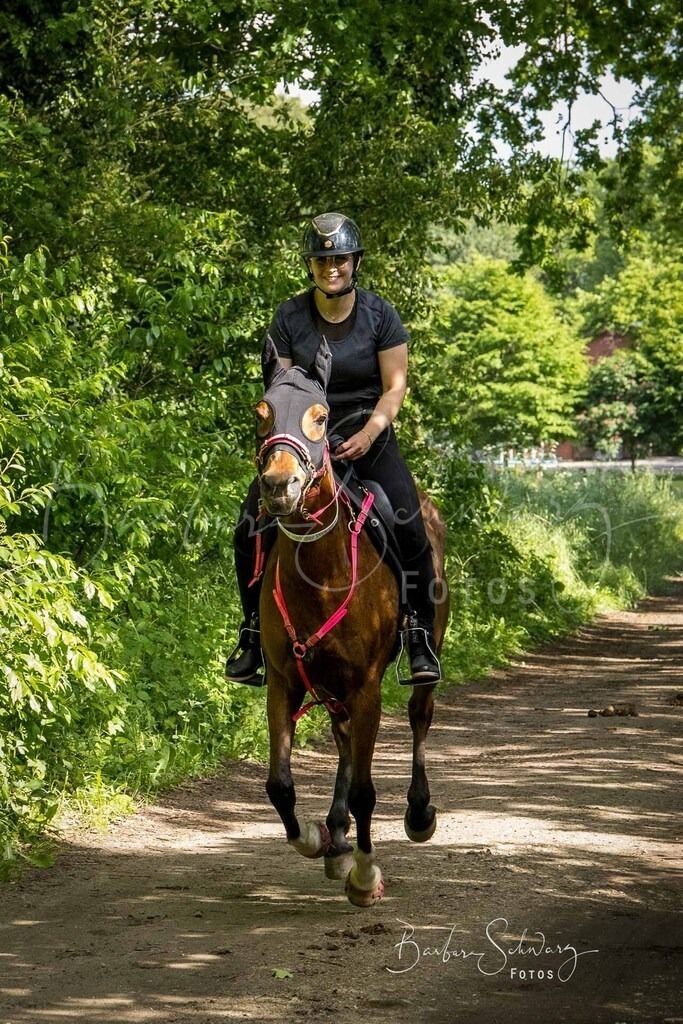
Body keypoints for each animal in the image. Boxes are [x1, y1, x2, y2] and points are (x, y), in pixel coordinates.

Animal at [253, 335, 449, 907]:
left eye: (320, 417)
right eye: (261, 412)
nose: (279, 485)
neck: (322, 571)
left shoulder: (366, 687)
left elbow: (366, 790)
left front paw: (365, 875)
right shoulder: (284, 680)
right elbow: (280, 784)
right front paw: (317, 838)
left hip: (426, 649)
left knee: (420, 716)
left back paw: (417, 813)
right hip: (328, 683)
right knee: (341, 740)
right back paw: (336, 835)